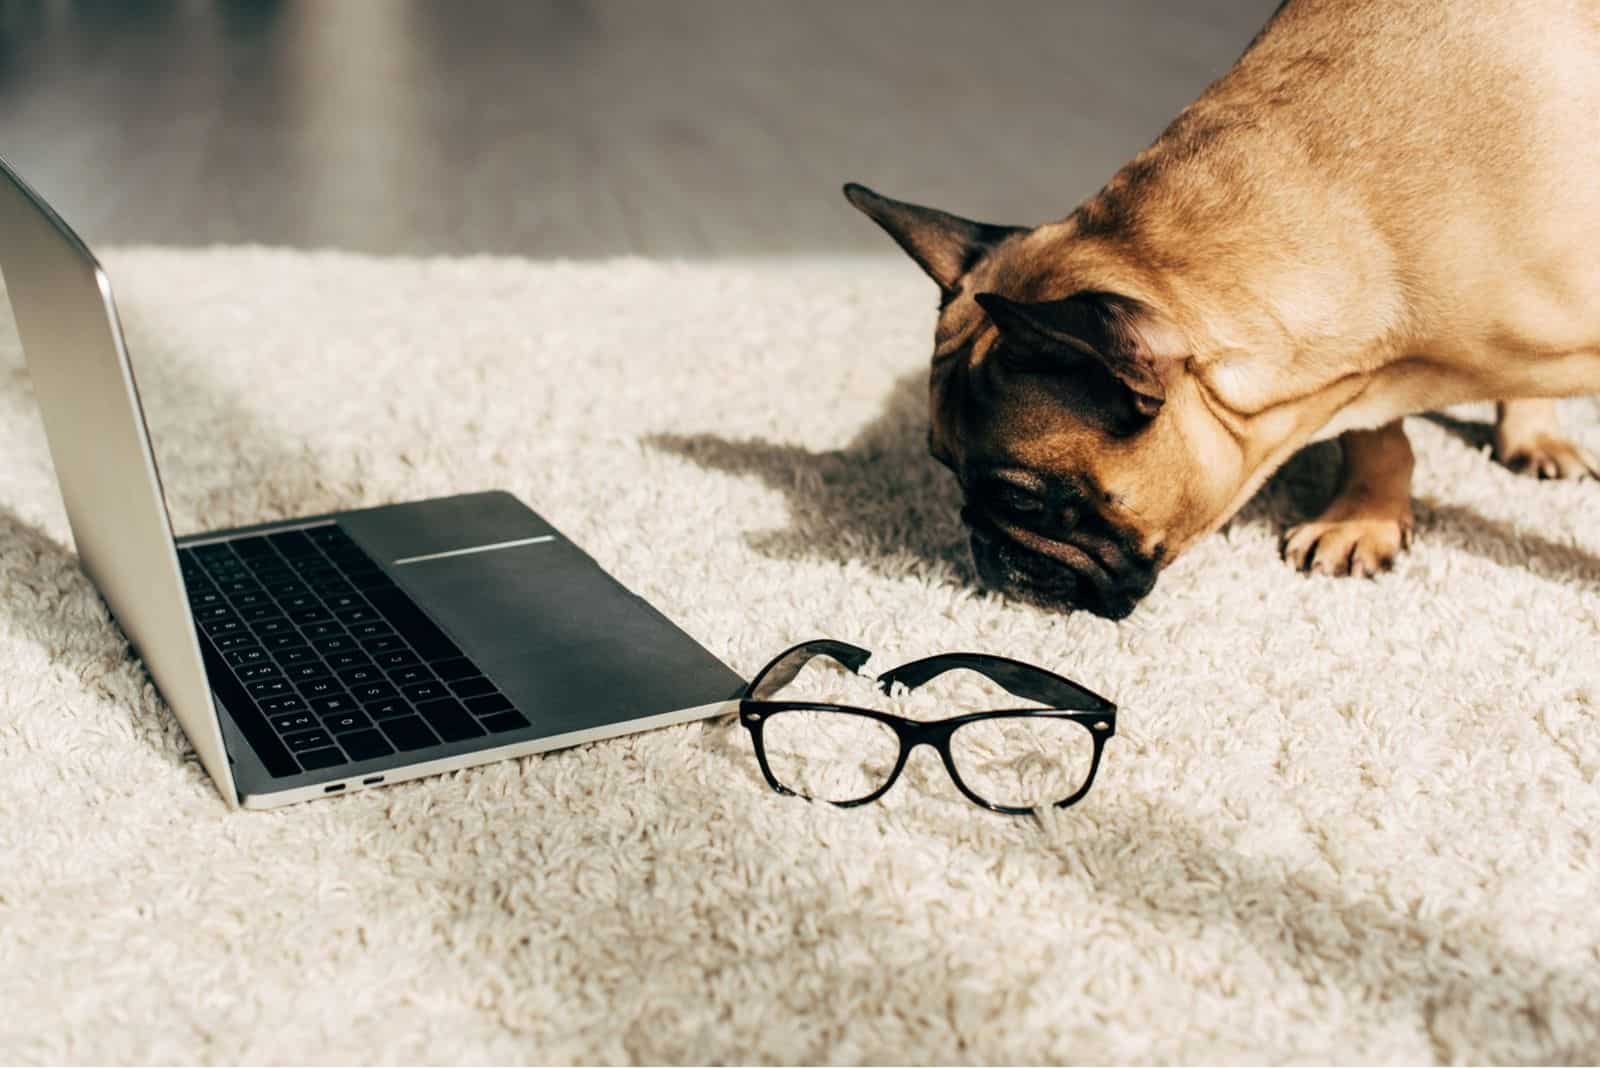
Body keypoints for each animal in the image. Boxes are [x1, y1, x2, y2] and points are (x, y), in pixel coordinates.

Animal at [844, 0, 1593, 617]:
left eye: (1022, 497)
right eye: (943, 467)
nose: (981, 551)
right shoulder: (1367, 360)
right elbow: (1378, 434)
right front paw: (1364, 517)